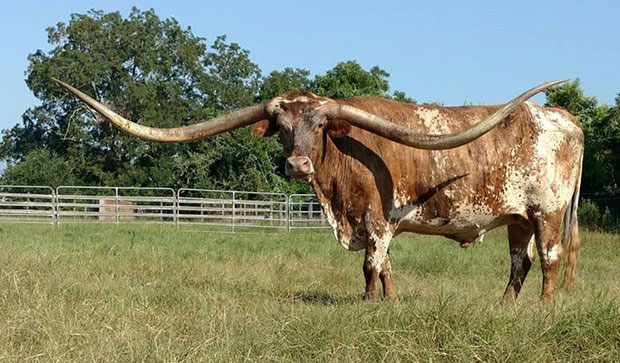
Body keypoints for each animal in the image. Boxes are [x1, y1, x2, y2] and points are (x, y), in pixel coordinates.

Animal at [55, 79, 584, 304]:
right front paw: (388, 304)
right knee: (519, 263)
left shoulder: (378, 219)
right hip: (516, 218)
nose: (296, 164)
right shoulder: (373, 225)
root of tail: (560, 116)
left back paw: (542, 311)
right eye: (283, 129)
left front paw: (369, 305)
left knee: (550, 260)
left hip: (547, 212)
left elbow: (371, 265)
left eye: (320, 126)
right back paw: (503, 309)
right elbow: (383, 266)